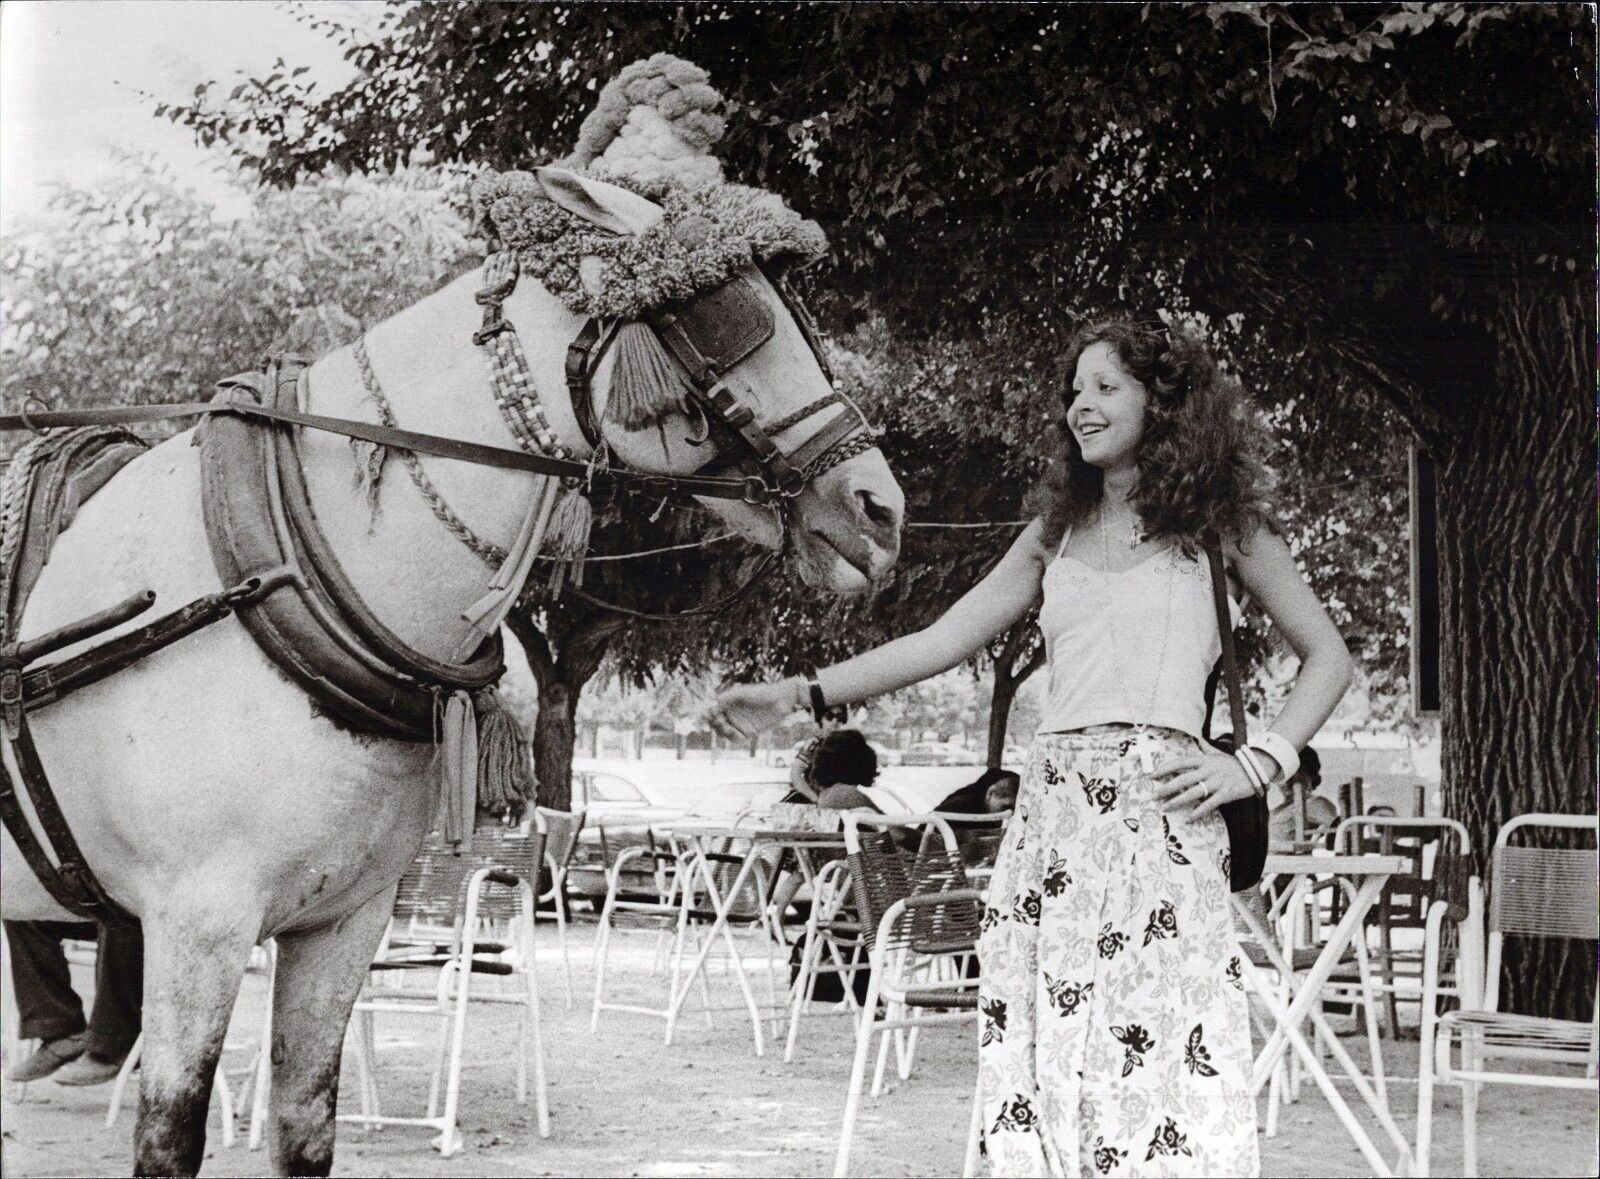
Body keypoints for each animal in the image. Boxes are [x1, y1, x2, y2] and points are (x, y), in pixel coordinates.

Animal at [0, 147, 902, 1171]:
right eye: (725, 313)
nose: (880, 507)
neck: (275, 567)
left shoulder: (340, 923)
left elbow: (306, 1125)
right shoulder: (197, 923)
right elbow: (170, 1138)